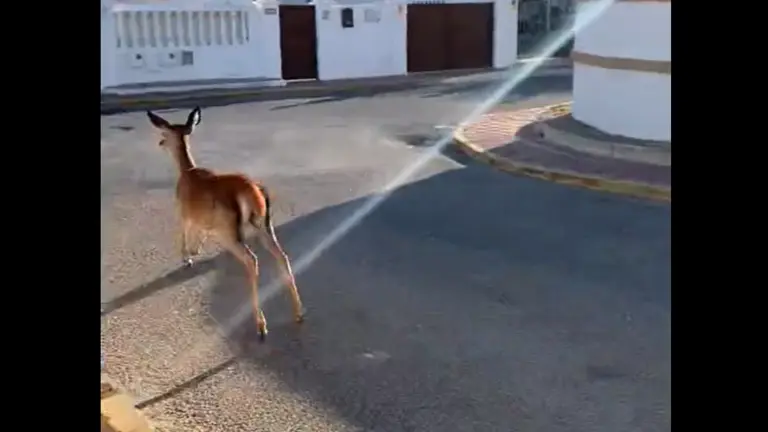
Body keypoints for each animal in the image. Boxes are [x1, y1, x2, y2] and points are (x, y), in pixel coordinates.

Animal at [146, 107, 304, 341]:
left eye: (165, 132)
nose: (160, 143)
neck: (186, 172)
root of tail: (254, 192)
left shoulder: (185, 212)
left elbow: (185, 232)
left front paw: (187, 257)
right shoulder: (204, 221)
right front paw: (194, 251)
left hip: (229, 231)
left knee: (252, 259)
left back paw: (261, 325)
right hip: (264, 225)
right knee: (282, 255)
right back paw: (299, 313)